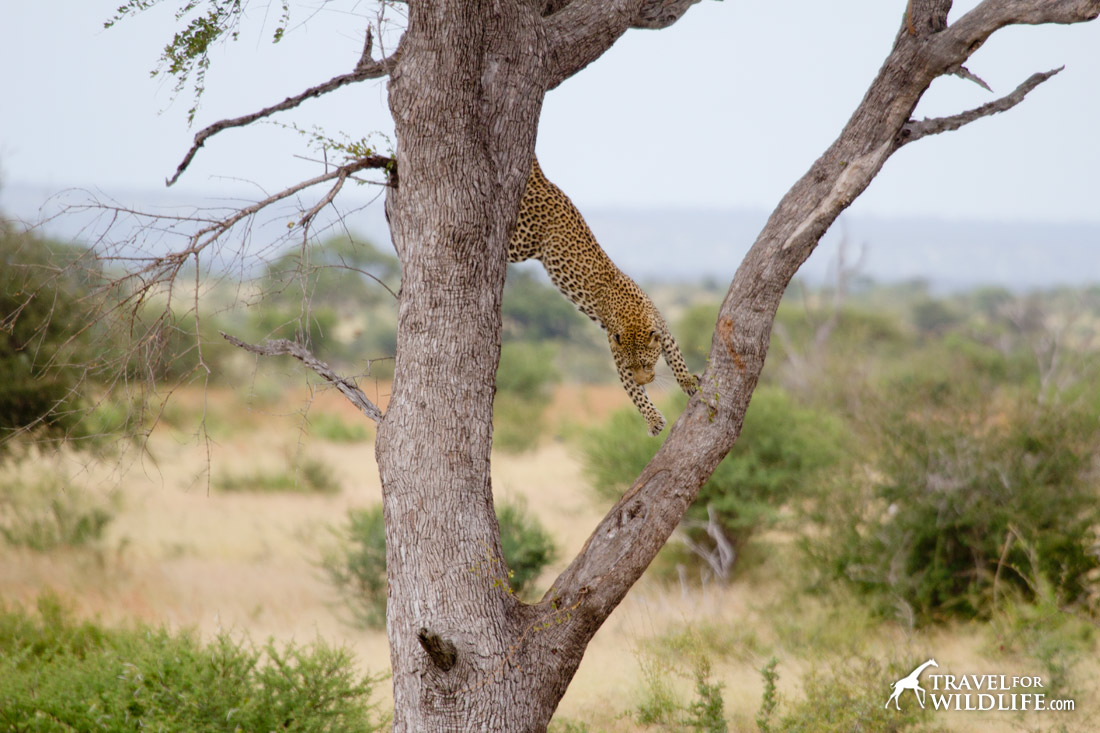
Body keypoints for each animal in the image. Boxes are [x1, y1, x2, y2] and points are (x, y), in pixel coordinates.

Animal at [506, 158, 695, 433]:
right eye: (631, 367)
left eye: (646, 364)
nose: (645, 380)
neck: (633, 316)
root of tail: (546, 183)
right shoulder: (617, 355)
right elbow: (634, 394)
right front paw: (652, 419)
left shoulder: (663, 330)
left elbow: (677, 359)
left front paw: (688, 381)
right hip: (521, 243)